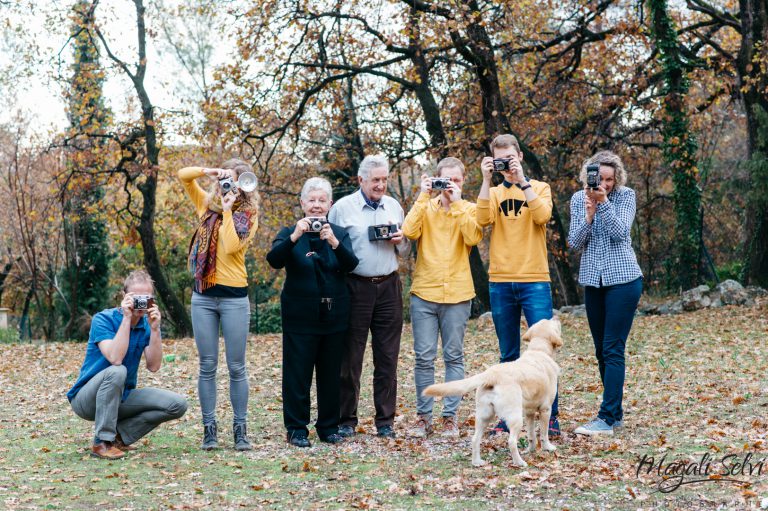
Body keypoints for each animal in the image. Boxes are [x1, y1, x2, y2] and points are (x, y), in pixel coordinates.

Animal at [424, 320, 560, 468]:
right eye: (552, 321)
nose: (556, 318)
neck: (538, 351)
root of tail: (491, 374)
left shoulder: (529, 412)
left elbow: (531, 436)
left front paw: (531, 450)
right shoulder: (545, 409)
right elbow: (544, 433)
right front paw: (548, 447)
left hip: (484, 415)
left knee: (475, 439)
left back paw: (477, 462)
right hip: (515, 417)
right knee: (511, 442)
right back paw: (519, 462)